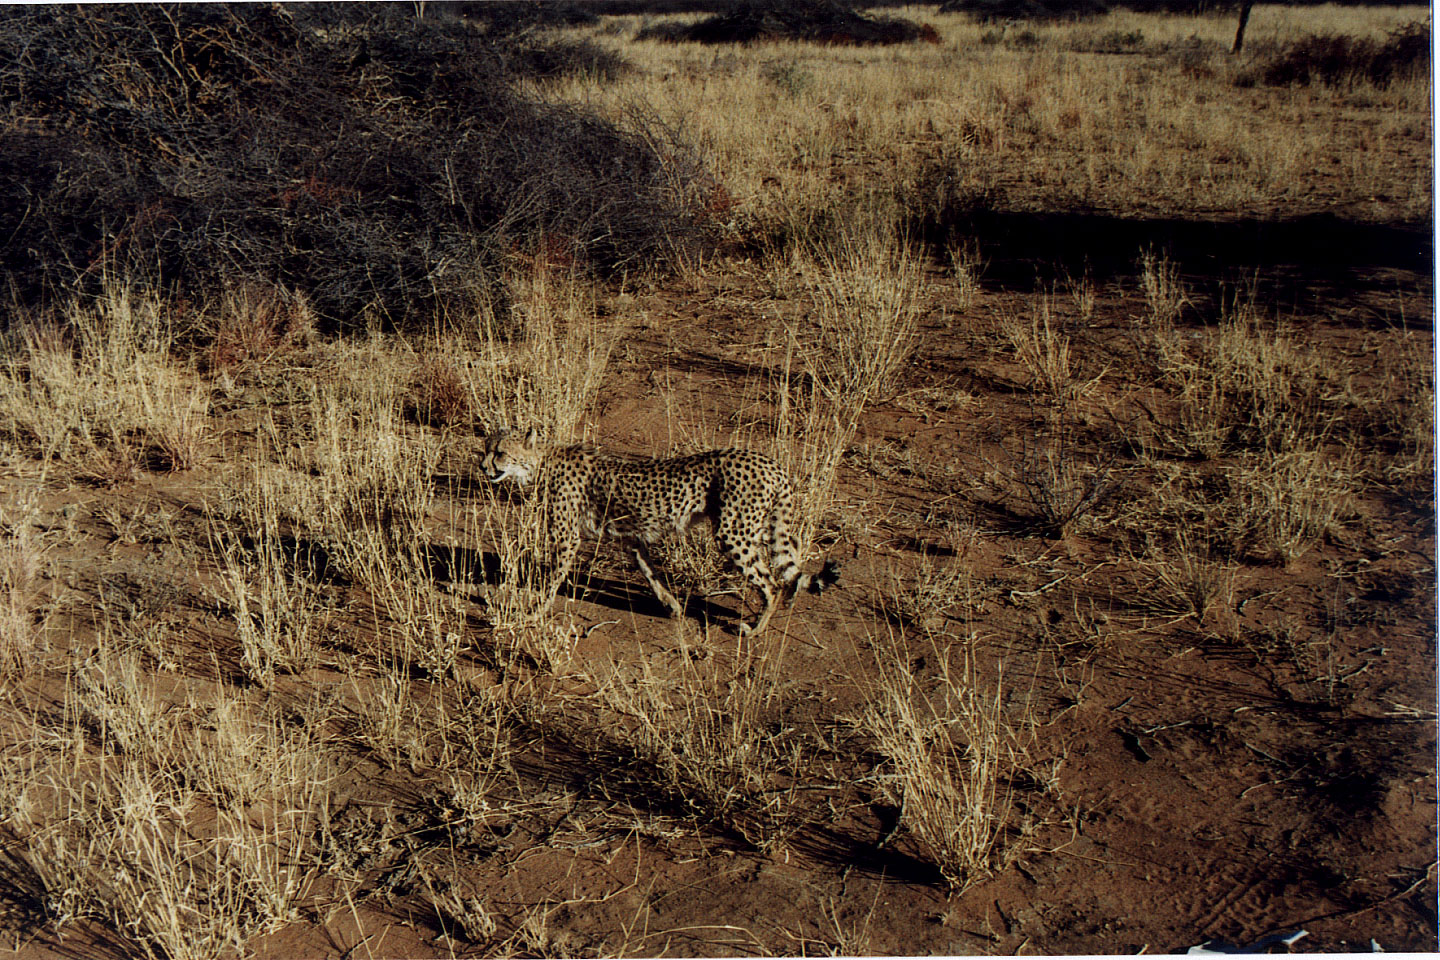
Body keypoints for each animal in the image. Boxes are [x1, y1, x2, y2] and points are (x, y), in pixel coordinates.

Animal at [483, 428, 840, 639]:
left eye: (500, 452)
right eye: (484, 449)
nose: (484, 467)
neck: (540, 463)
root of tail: (770, 462)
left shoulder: (566, 537)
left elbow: (551, 579)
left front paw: (533, 613)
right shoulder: (631, 537)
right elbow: (649, 571)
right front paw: (673, 606)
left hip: (733, 533)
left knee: (771, 582)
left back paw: (755, 629)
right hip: (757, 526)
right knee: (790, 556)